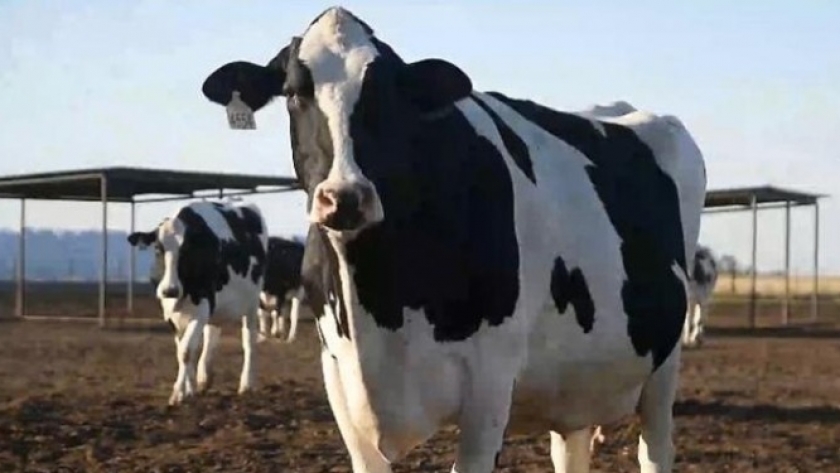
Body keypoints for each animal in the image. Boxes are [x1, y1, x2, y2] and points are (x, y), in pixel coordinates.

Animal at [127, 200, 268, 406]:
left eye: (186, 250)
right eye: (158, 249)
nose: (170, 290)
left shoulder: (202, 307)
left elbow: (186, 351)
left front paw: (178, 393)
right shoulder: (171, 314)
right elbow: (183, 352)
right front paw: (189, 389)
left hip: (251, 302)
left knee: (249, 340)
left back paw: (246, 384)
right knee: (211, 335)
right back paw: (204, 379)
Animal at [199, 7, 706, 473]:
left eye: (389, 95)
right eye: (292, 93)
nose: (344, 197)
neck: (380, 305)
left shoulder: (490, 382)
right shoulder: (339, 379)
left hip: (663, 368)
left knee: (655, 447)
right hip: (574, 386)